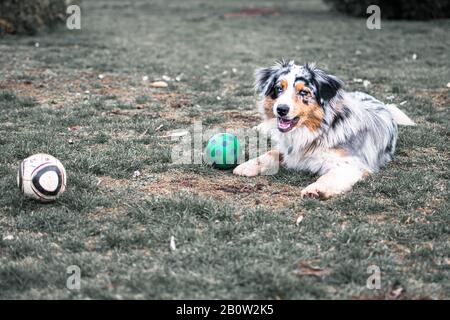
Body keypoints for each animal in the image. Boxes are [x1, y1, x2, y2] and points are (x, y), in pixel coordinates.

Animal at [234, 60, 416, 199]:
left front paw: (316, 189)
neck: (317, 130)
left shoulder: (353, 163)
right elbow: (271, 152)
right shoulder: (290, 149)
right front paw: (247, 166)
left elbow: (331, 175)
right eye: (279, 88)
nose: (281, 109)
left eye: (303, 92)